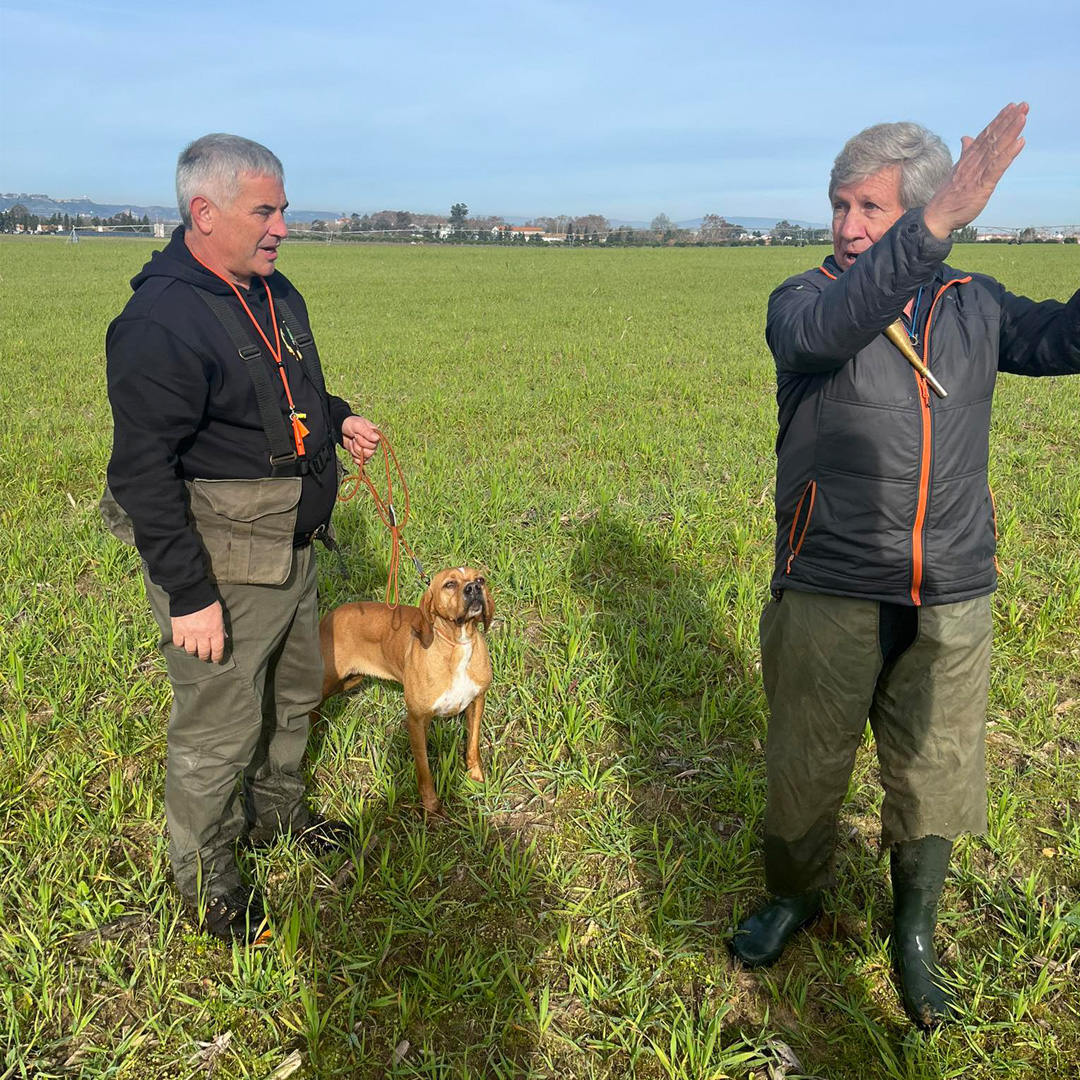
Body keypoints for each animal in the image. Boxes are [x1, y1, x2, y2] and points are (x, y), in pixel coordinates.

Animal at [317, 570, 492, 812]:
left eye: (480, 579)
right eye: (449, 584)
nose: (474, 588)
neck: (457, 644)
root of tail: (328, 616)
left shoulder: (477, 701)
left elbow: (473, 744)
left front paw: (475, 777)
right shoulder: (417, 720)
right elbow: (424, 768)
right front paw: (430, 804)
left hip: (351, 679)